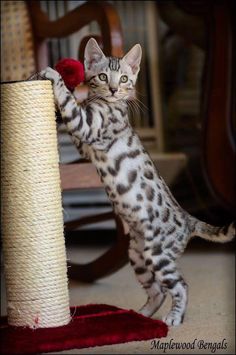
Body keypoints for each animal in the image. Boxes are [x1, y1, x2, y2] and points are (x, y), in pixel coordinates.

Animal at [37, 38, 235, 326]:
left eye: (124, 78)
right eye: (103, 76)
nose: (113, 89)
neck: (110, 105)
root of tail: (189, 220)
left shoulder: (89, 127)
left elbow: (70, 103)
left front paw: (56, 76)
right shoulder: (85, 143)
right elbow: (74, 107)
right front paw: (74, 89)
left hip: (158, 254)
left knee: (180, 286)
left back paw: (174, 318)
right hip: (138, 256)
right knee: (157, 291)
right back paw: (140, 315)